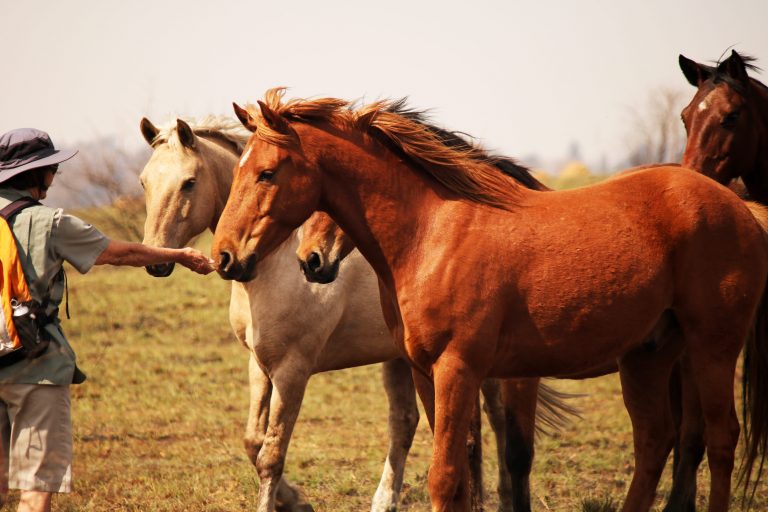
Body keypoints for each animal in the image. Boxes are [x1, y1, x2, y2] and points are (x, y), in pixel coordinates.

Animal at [137, 116, 521, 512]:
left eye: (189, 182)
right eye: (144, 182)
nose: (155, 260)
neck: (277, 260)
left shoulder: (292, 369)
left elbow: (271, 454)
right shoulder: (259, 364)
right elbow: (253, 442)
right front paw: (294, 500)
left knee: (496, 422)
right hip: (403, 359)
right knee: (406, 422)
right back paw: (385, 501)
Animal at [212, 88, 768, 512]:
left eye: (267, 172)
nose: (224, 255)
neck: (432, 233)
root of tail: (739, 207)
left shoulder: (459, 369)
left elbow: (446, 476)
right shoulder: (426, 372)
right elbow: (463, 473)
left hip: (712, 349)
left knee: (720, 438)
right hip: (648, 356)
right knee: (655, 442)